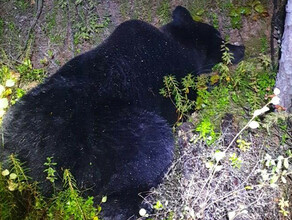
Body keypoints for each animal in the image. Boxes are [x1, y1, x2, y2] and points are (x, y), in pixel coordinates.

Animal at [0, 6, 244, 219]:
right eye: (219, 36)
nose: (241, 48)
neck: (177, 44)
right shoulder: (175, 83)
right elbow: (189, 100)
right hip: (118, 136)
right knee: (148, 154)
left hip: (12, 134)